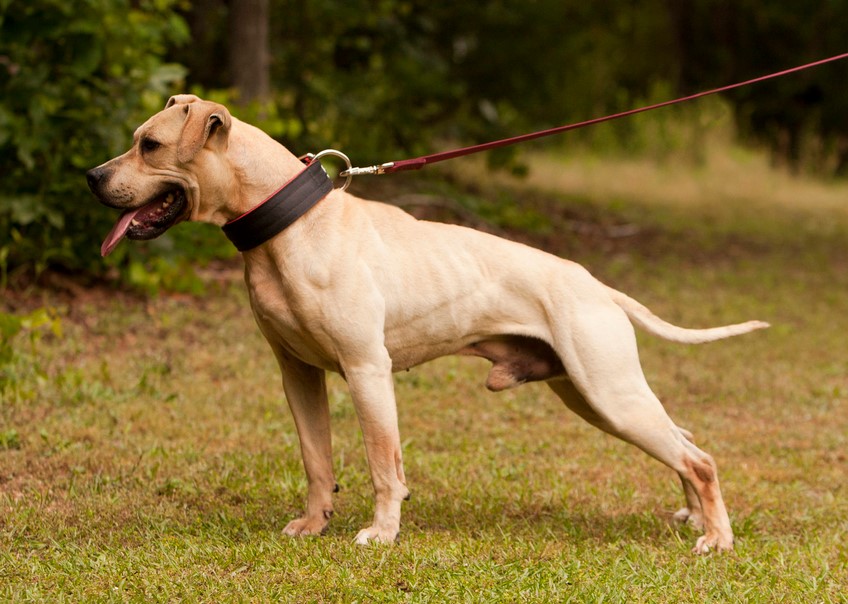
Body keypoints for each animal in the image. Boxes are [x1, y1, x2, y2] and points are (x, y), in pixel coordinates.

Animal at [88, 93, 768, 552]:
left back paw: (717, 539)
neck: (290, 223)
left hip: (608, 393)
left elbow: (383, 463)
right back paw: (694, 518)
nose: (91, 176)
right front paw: (314, 523)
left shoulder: (367, 370)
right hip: (593, 396)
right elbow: (317, 459)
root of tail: (597, 285)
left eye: (149, 145)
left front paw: (382, 533)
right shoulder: (298, 374)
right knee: (683, 442)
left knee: (701, 459)